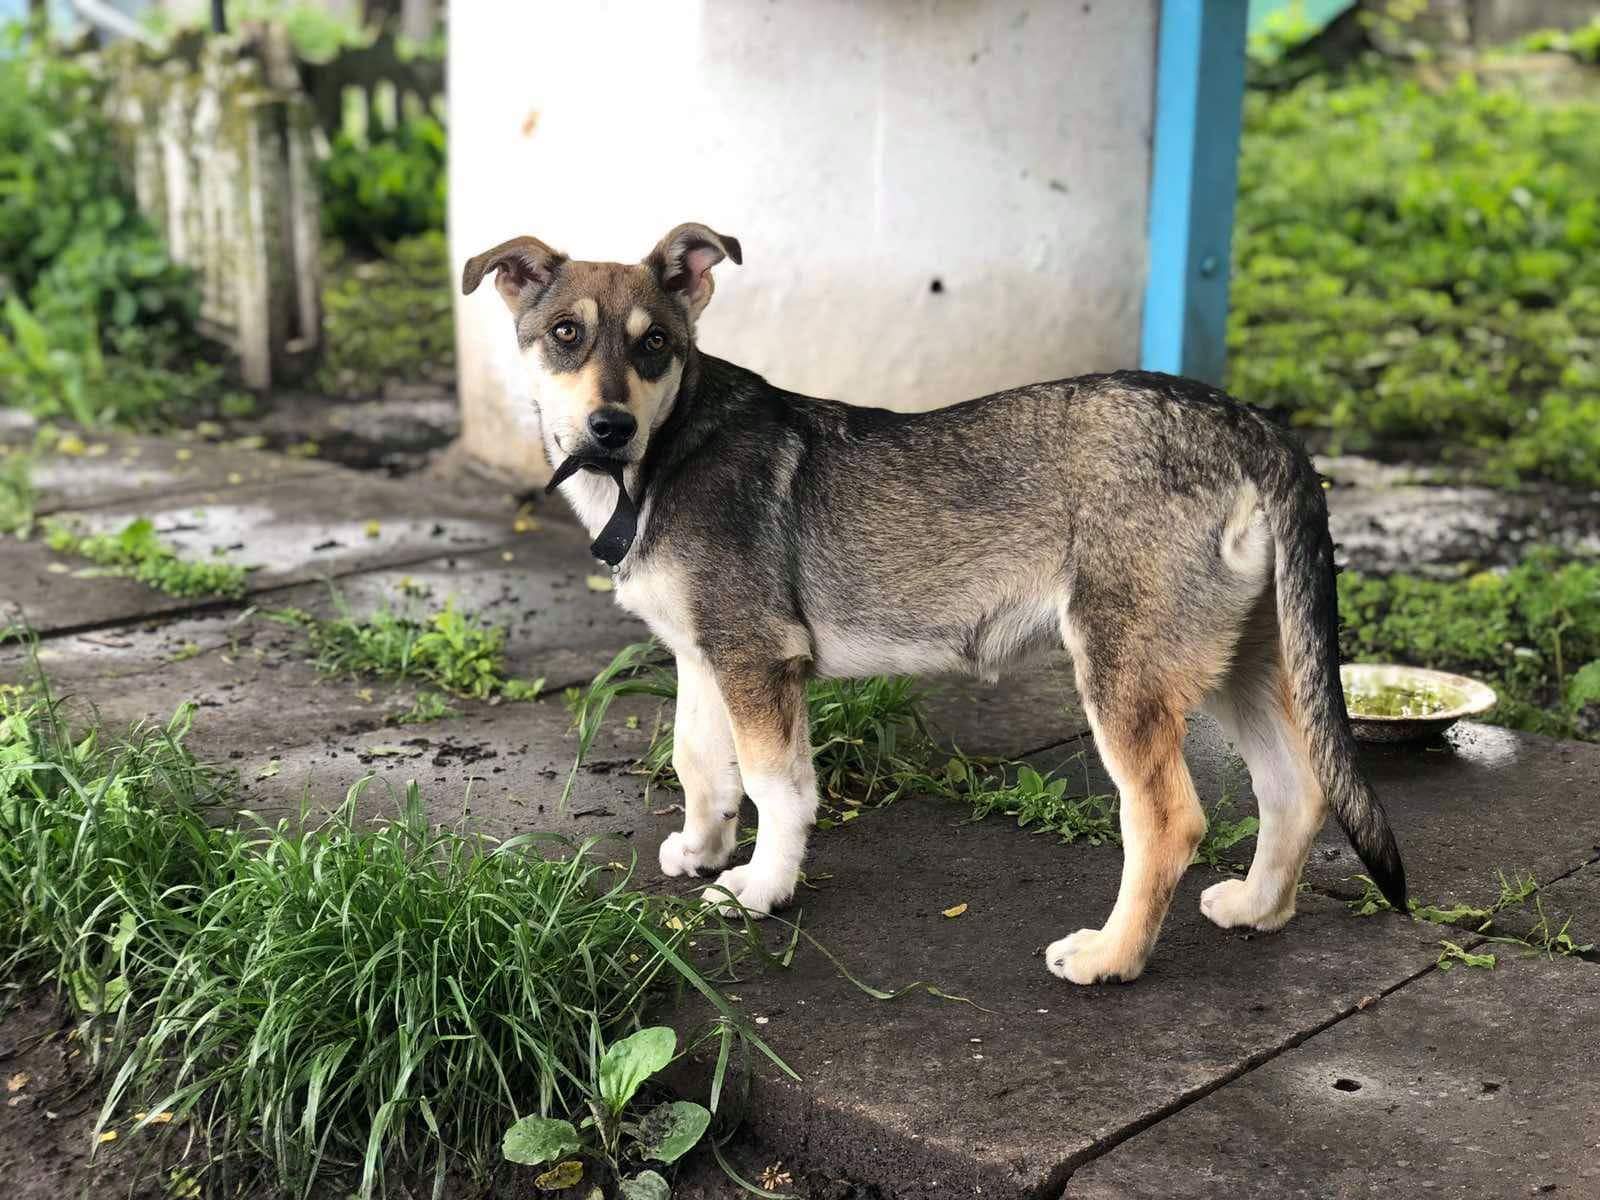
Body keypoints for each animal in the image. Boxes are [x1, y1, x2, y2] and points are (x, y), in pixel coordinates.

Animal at [460, 224, 1401, 985]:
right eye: (565, 334)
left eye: (655, 344)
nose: (609, 428)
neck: (662, 458)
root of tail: (1248, 421)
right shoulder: (705, 655)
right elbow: (703, 766)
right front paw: (702, 852)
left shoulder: (758, 660)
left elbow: (776, 787)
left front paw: (762, 888)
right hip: (1235, 661)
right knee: (1297, 788)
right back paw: (1255, 910)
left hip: (1124, 672)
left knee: (1169, 821)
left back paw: (1111, 958)